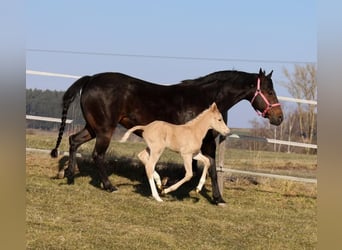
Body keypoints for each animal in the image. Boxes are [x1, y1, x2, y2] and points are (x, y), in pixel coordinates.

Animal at [49, 68, 282, 205]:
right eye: (269, 91)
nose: (279, 117)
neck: (206, 100)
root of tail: (90, 80)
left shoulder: (203, 144)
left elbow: (208, 167)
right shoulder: (204, 143)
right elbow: (207, 169)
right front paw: (209, 196)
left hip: (93, 127)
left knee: (73, 141)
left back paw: (69, 175)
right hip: (105, 130)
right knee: (97, 155)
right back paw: (110, 186)